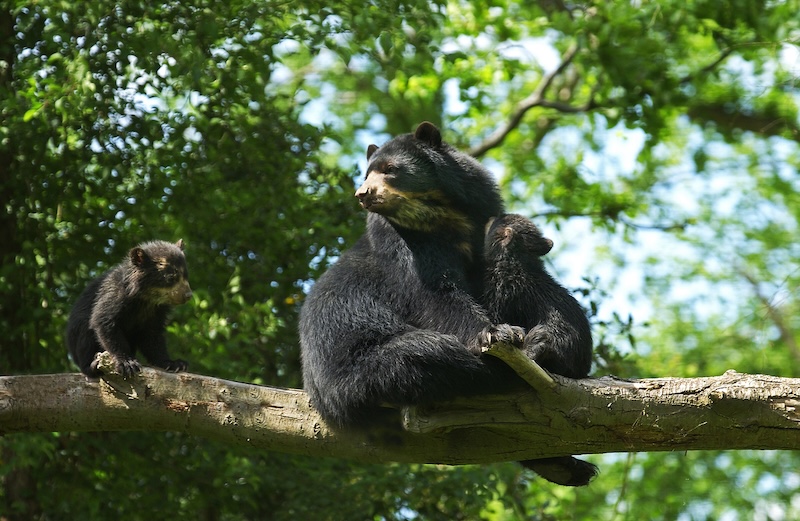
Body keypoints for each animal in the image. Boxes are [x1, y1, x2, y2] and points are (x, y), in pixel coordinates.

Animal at [67, 240, 194, 378]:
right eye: (171, 277)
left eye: (186, 275)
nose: (188, 295)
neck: (146, 298)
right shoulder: (115, 294)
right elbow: (104, 321)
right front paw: (127, 363)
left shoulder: (158, 310)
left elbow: (153, 335)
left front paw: (175, 363)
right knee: (85, 334)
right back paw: (92, 365)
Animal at [298, 123, 592, 488]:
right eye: (367, 173)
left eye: (390, 169)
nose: (362, 193)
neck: (440, 217)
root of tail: (324, 398)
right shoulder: (407, 251)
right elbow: (437, 296)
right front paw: (496, 333)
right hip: (361, 363)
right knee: (428, 356)